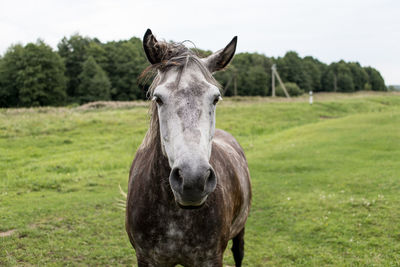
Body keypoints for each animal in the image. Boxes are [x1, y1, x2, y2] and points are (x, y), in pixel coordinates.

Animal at [126, 29, 250, 267]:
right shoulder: (146, 258)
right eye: (158, 98)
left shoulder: (210, 259)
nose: (193, 180)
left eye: (215, 98)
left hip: (240, 230)